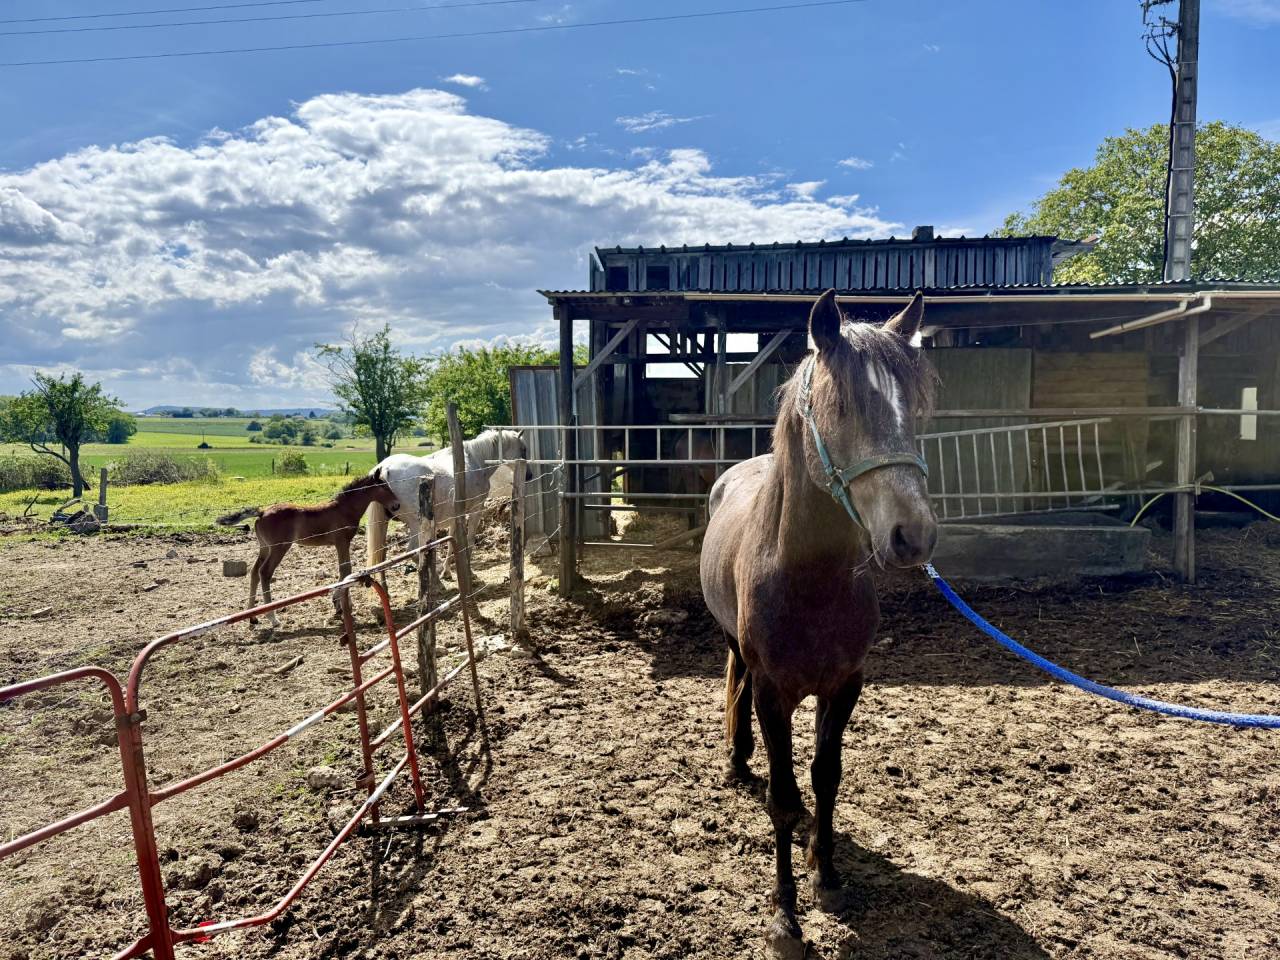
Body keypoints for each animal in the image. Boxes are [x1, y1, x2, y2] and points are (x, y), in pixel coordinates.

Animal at [216, 468, 401, 628]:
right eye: (384, 486)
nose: (397, 505)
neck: (344, 509)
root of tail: (262, 513)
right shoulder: (342, 542)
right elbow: (345, 569)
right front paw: (340, 604)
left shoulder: (342, 543)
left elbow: (345, 570)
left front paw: (339, 604)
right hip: (278, 548)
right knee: (264, 572)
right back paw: (273, 618)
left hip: (265, 547)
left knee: (254, 572)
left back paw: (252, 616)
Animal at [366, 428, 530, 579]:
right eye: (523, 449)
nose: (529, 475)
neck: (475, 460)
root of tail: (384, 468)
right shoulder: (476, 510)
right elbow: (469, 541)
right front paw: (468, 573)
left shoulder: (455, 516)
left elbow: (452, 542)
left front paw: (447, 571)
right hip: (416, 526)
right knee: (414, 552)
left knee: (382, 560)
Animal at [699, 290, 938, 958]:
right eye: (841, 407)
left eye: (914, 405)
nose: (913, 535)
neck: (808, 581)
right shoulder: (774, 694)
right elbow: (783, 797)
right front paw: (785, 915)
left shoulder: (845, 685)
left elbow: (825, 779)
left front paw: (826, 877)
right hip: (737, 649)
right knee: (737, 686)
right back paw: (737, 759)